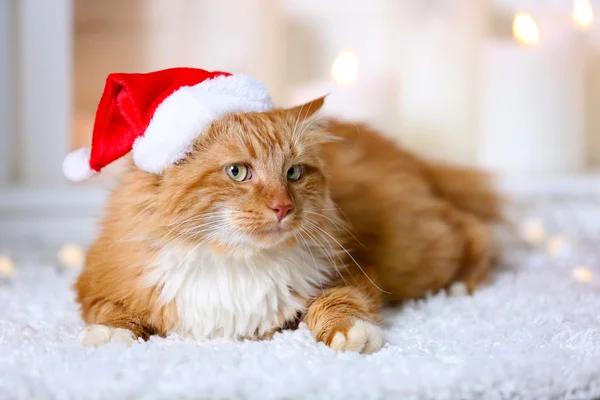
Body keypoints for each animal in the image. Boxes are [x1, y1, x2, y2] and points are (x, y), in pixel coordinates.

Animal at [75, 97, 502, 354]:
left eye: (293, 173)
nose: (283, 207)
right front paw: (112, 335)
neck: (235, 262)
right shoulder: (97, 281)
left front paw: (352, 333)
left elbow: (339, 303)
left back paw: (460, 287)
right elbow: (111, 310)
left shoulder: (350, 271)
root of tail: (412, 158)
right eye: (238, 172)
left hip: (419, 252)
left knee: (476, 232)